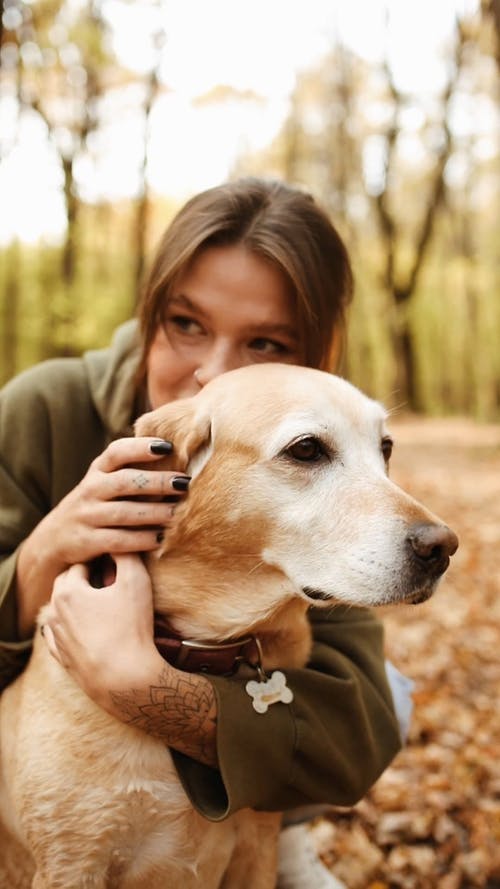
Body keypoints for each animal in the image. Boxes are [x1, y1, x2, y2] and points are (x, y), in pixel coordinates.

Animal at [0, 362, 458, 888]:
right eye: (306, 449)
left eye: (385, 448)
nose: (443, 547)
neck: (196, 654)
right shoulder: (71, 864)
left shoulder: (256, 847)